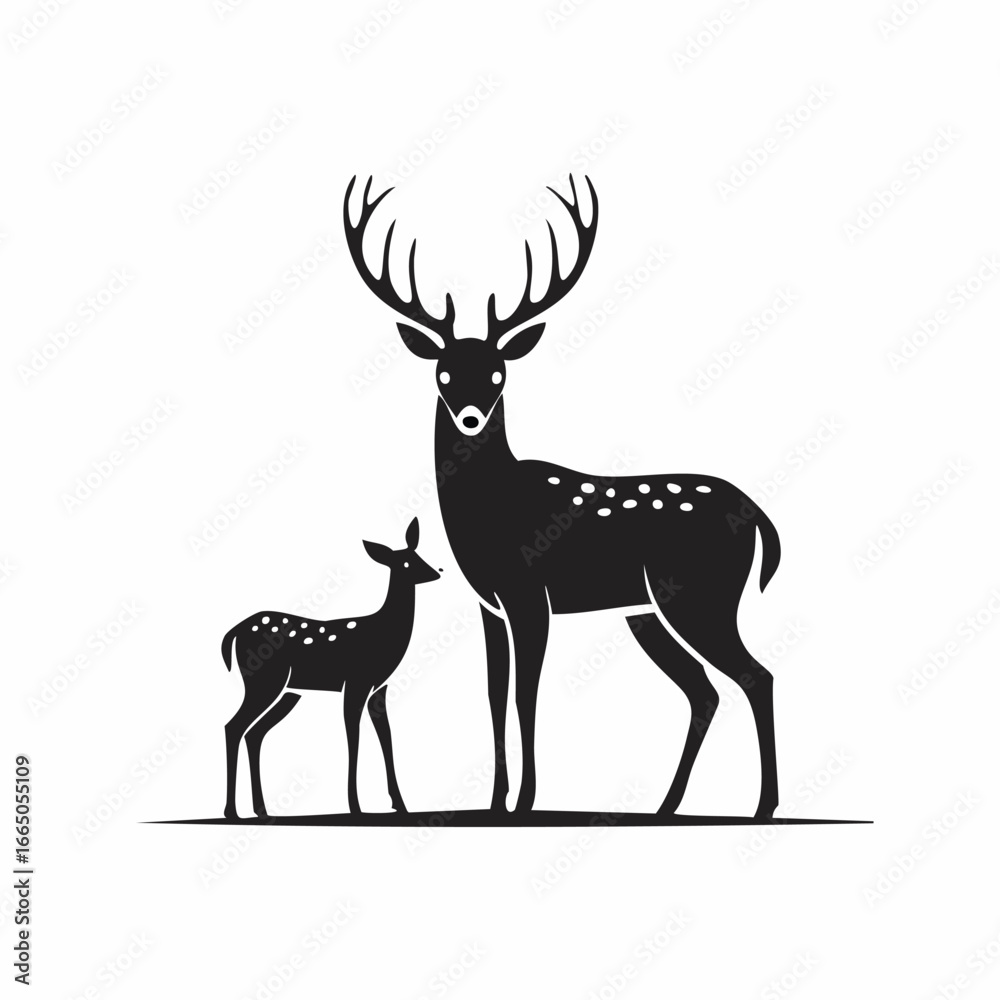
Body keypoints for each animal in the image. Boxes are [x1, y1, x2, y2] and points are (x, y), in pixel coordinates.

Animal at [220, 517, 440, 819]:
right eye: (405, 563)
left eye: (418, 556)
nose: (437, 571)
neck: (384, 633)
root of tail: (234, 631)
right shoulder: (356, 682)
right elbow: (353, 738)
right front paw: (356, 807)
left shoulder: (379, 688)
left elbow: (387, 738)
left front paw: (400, 805)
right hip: (264, 681)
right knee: (233, 727)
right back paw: (231, 811)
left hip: (289, 692)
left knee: (254, 733)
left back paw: (262, 810)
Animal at [343, 176, 782, 819]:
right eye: (443, 373)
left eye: (498, 373)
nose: (471, 418)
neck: (491, 511)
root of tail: (760, 517)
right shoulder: (489, 604)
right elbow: (494, 696)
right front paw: (495, 803)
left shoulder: (530, 595)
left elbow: (526, 696)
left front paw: (526, 802)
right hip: (646, 611)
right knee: (703, 691)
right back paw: (666, 806)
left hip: (701, 596)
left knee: (755, 676)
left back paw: (763, 805)